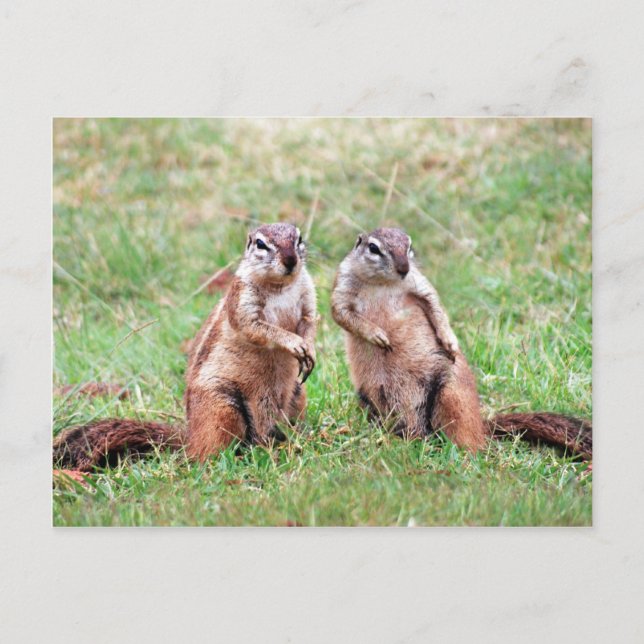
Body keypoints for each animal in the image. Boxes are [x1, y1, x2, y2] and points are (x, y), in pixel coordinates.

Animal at [54, 223, 317, 470]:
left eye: (299, 239)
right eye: (261, 244)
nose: (290, 260)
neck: (280, 286)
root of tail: (189, 437)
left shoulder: (307, 296)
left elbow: (310, 320)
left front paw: (309, 349)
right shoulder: (243, 301)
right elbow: (257, 328)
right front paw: (294, 343)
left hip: (297, 394)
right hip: (223, 408)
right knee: (212, 449)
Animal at [331, 227, 592, 458]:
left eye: (409, 246)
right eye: (373, 248)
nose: (404, 268)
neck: (383, 284)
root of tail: (482, 426)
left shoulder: (418, 282)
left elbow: (435, 304)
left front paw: (449, 342)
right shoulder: (343, 284)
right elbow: (342, 314)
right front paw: (378, 335)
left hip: (452, 394)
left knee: (465, 437)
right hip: (369, 399)